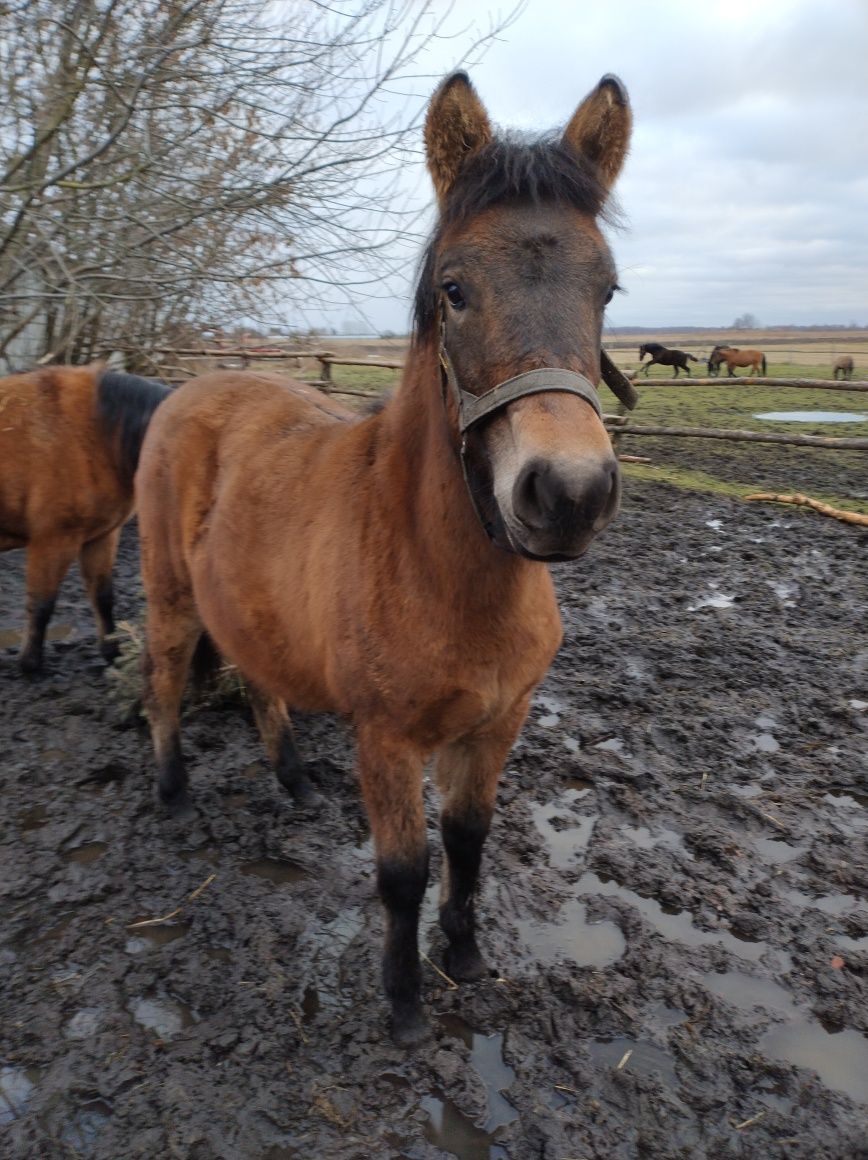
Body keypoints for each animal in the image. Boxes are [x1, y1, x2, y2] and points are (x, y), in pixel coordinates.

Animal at [0, 361, 171, 672]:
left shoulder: (102, 536)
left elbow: (103, 596)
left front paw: (112, 652)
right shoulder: (53, 540)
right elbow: (42, 603)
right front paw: (30, 663)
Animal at [139, 70, 635, 1044]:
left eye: (606, 289)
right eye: (454, 288)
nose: (568, 494)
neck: (441, 574)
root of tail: (190, 389)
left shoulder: (497, 723)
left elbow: (470, 841)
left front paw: (466, 956)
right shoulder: (389, 740)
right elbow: (402, 871)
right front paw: (404, 1000)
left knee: (259, 679)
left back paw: (294, 784)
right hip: (171, 597)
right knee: (168, 679)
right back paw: (173, 791)